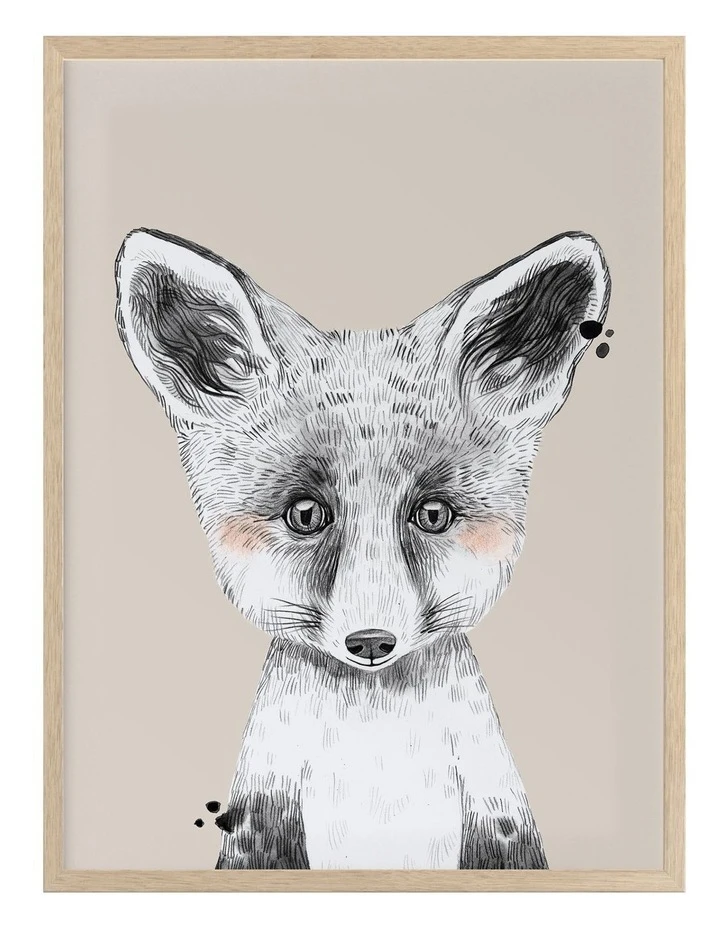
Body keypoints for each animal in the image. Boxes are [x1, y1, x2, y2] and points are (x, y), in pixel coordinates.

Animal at [115, 228, 610, 870]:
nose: (371, 642)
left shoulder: (501, 823)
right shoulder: (262, 826)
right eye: (306, 515)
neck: (377, 775)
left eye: (432, 515)